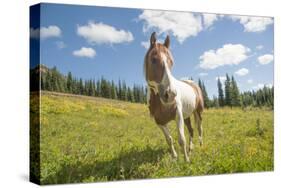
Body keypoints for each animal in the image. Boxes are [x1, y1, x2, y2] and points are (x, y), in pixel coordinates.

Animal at [143, 32, 202, 162]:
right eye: (153, 59)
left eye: (171, 62)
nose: (170, 94)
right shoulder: (159, 122)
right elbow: (169, 139)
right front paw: (175, 157)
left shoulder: (178, 115)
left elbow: (181, 139)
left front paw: (186, 161)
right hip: (187, 116)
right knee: (191, 130)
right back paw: (191, 148)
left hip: (198, 112)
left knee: (199, 128)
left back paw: (201, 145)